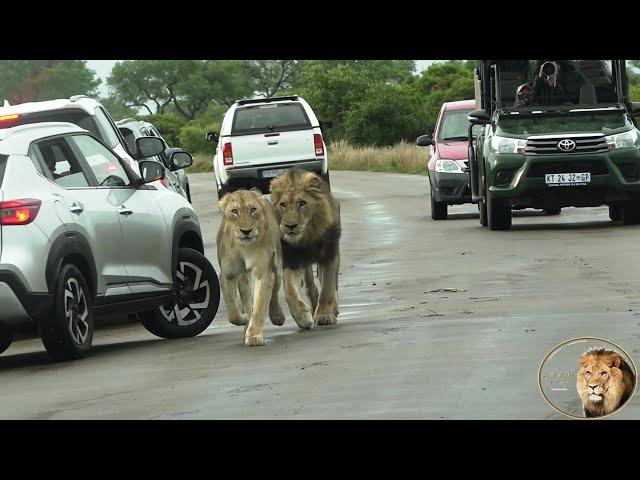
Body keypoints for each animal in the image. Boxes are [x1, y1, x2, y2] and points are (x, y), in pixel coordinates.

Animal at [216, 188, 284, 344]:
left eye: (253, 209)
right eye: (234, 211)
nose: (246, 231)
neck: (244, 247)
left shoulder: (263, 273)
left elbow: (259, 305)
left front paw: (254, 336)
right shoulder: (227, 275)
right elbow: (233, 312)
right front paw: (245, 318)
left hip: (276, 265)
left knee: (274, 293)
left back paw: (277, 316)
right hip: (243, 278)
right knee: (246, 299)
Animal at [268, 167, 340, 328]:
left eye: (302, 203)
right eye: (283, 205)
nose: (290, 226)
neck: (307, 238)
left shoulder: (328, 257)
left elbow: (326, 290)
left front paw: (324, 315)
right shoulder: (291, 261)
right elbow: (290, 292)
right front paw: (302, 317)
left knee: (333, 285)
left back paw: (334, 307)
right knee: (311, 286)